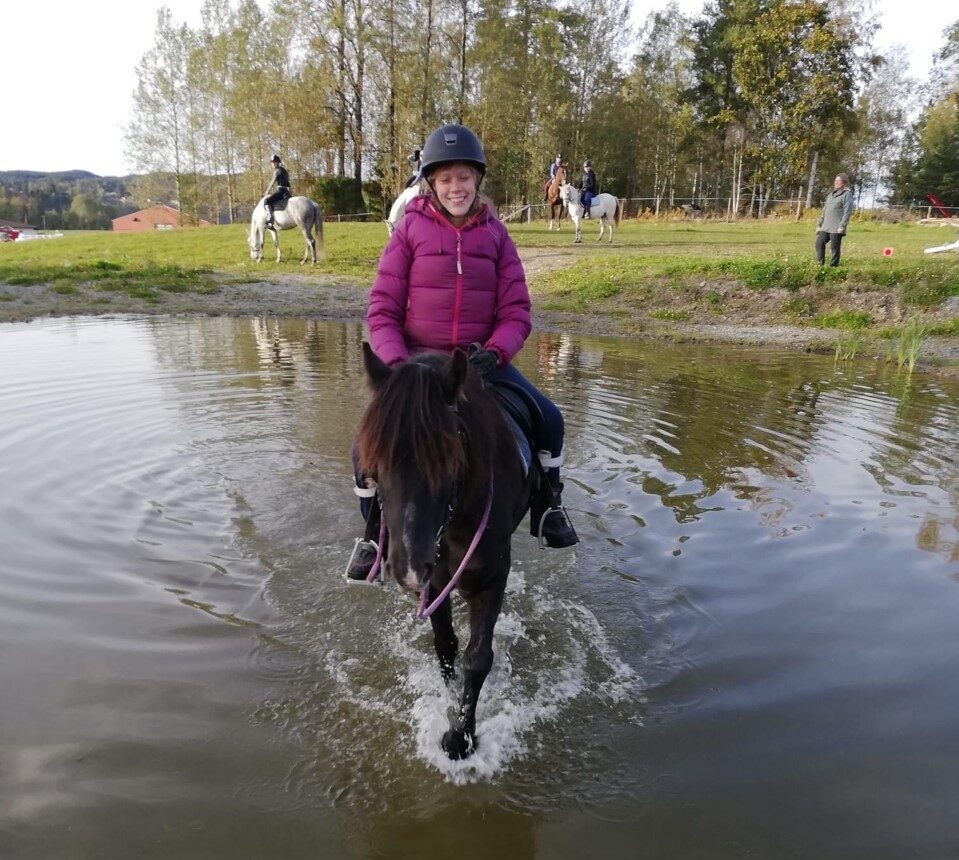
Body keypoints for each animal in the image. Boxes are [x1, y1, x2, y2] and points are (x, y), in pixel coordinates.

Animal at [356, 342, 532, 760]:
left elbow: (478, 657)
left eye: (449, 459)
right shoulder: (435, 579)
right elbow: (445, 645)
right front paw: (448, 699)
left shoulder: (490, 578)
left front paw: (461, 736)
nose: (406, 570)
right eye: (375, 463)